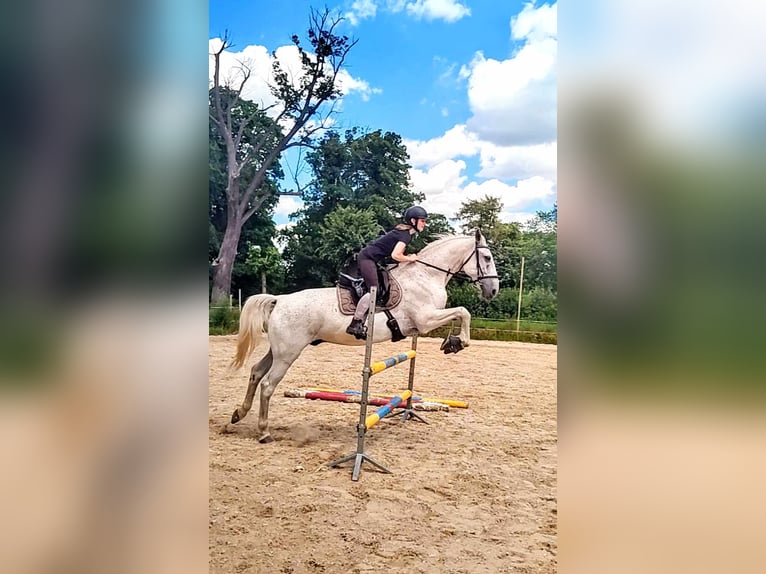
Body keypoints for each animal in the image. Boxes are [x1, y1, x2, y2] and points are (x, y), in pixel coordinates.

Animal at [228, 231, 504, 446]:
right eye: (487, 258)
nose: (493, 291)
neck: (426, 276)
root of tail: (279, 299)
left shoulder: (425, 322)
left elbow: (459, 313)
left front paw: (452, 343)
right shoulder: (426, 320)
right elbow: (463, 311)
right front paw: (459, 343)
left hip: (278, 350)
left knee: (256, 372)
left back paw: (238, 415)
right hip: (288, 353)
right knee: (267, 384)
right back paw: (264, 432)